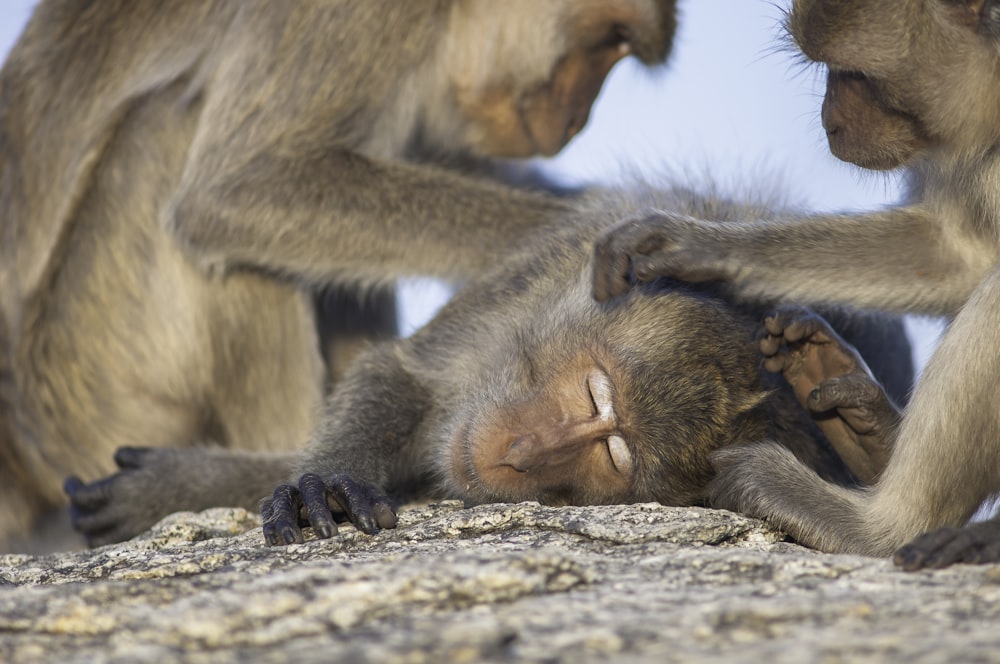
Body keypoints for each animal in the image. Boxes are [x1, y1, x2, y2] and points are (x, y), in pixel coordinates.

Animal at [0, 0, 680, 552]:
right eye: (611, 38)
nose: (577, 118)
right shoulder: (362, 16)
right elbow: (244, 185)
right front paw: (619, 221)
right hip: (91, 386)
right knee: (169, 132)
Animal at [60, 184, 908, 548]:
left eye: (614, 457)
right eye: (591, 390)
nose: (524, 450)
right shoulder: (531, 283)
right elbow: (400, 376)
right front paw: (318, 484)